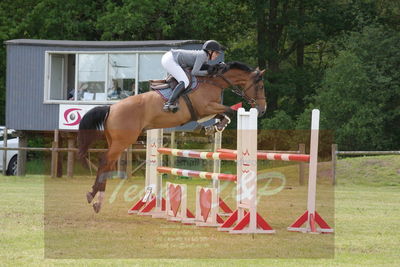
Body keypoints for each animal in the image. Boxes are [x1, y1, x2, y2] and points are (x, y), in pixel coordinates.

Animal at [77, 61, 266, 214]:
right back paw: (95, 198)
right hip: (122, 141)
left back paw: (94, 198)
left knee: (106, 164)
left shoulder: (209, 108)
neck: (213, 81)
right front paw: (218, 125)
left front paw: (215, 126)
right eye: (260, 86)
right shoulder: (206, 107)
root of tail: (111, 108)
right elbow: (229, 111)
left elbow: (224, 112)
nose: (262, 110)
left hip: (115, 141)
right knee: (105, 161)